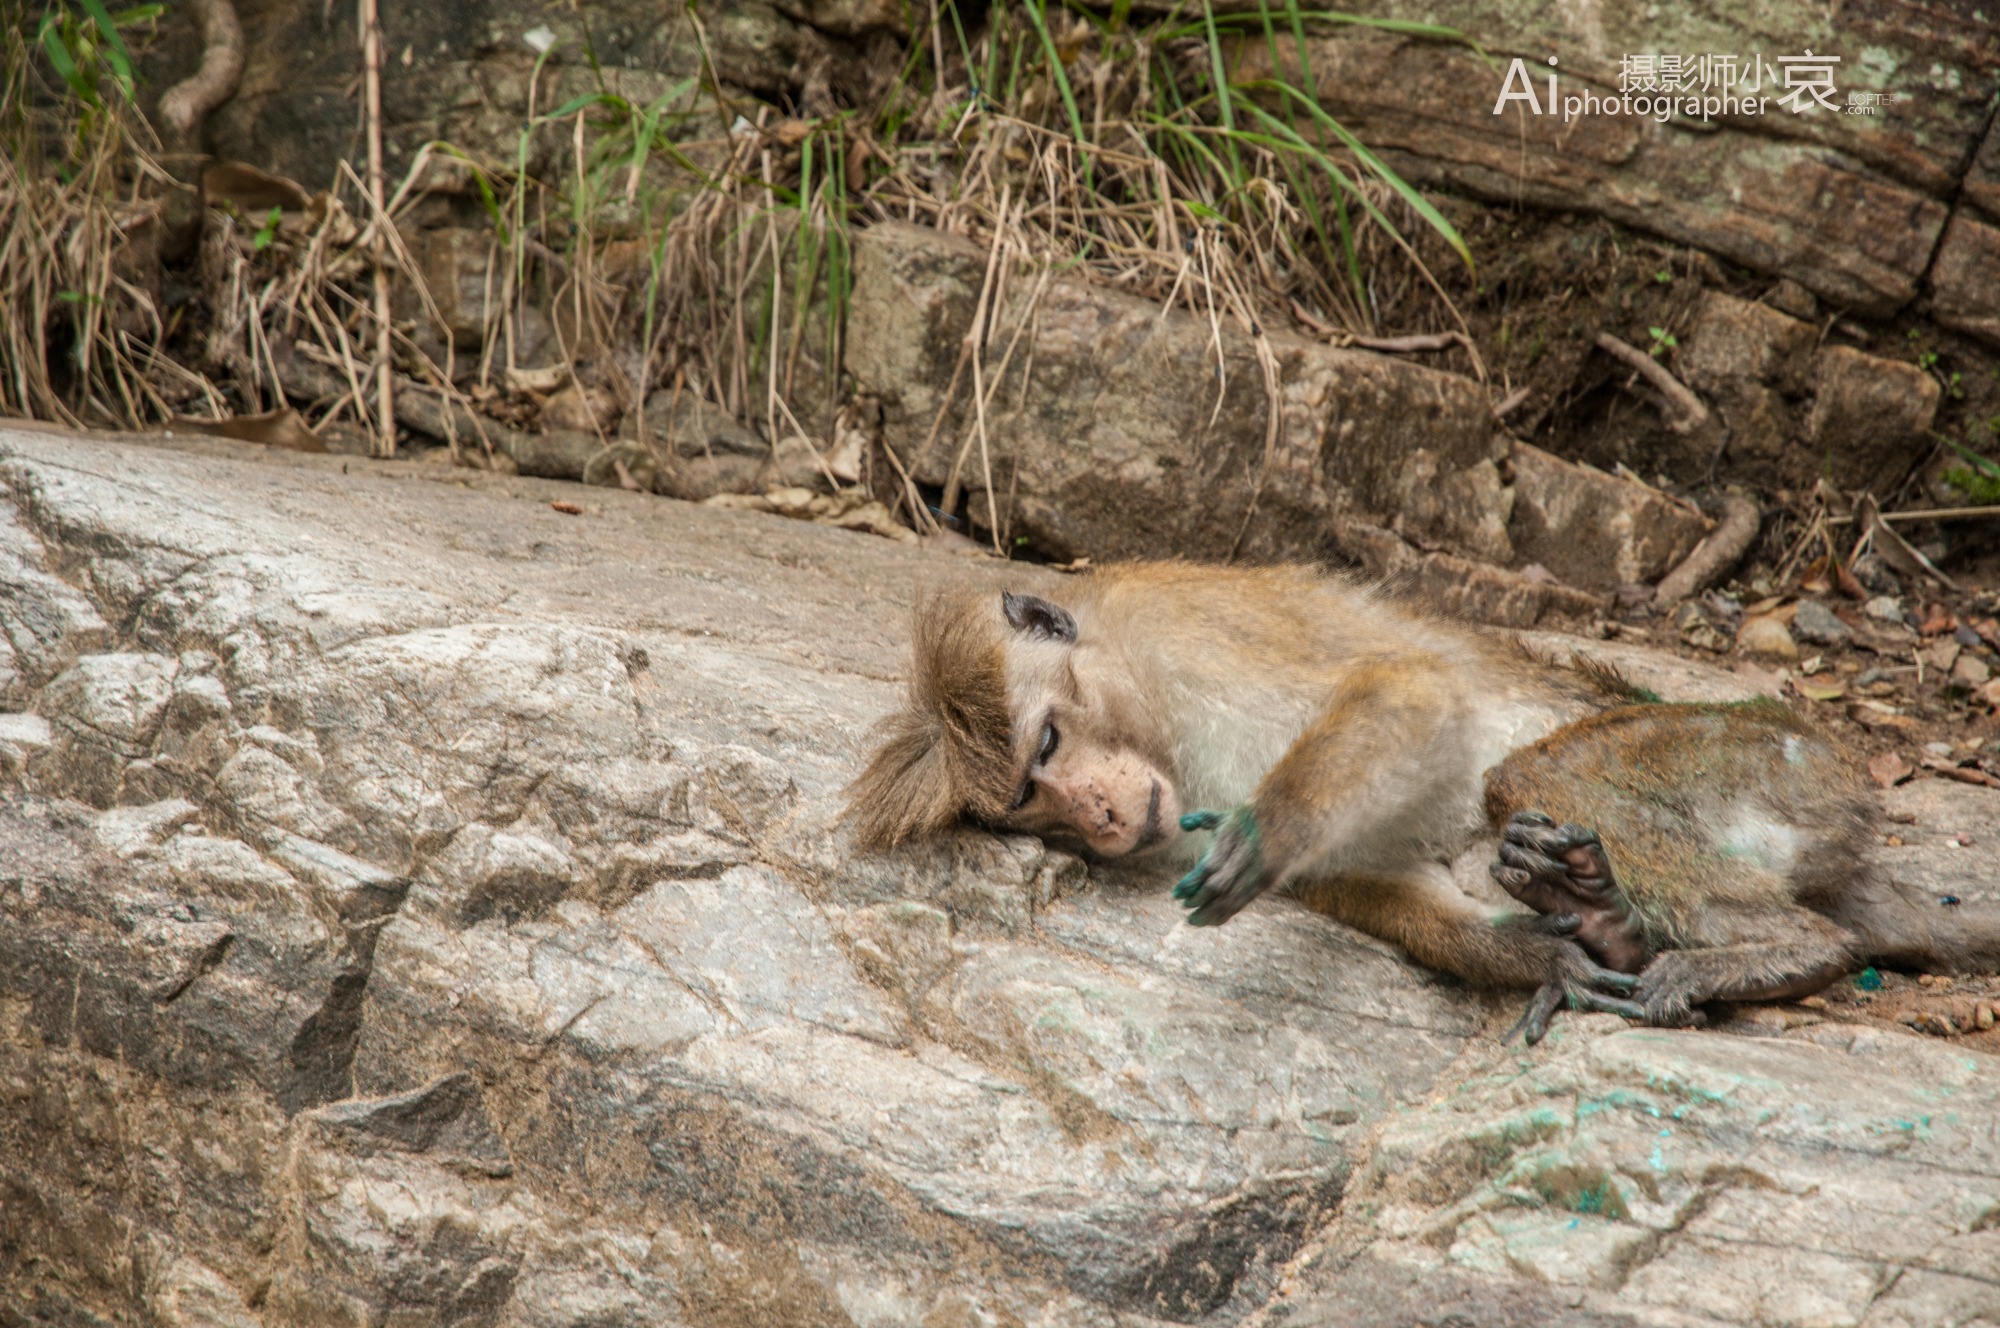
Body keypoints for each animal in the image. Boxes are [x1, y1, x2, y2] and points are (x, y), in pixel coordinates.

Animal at [848, 564, 2000, 1040]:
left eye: (1046, 744)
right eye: (1029, 805)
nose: (1090, 819)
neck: (1139, 687)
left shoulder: (1196, 633)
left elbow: (1410, 690)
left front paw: (1270, 824)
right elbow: (1370, 877)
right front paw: (1540, 956)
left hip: (1767, 755)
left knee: (1534, 778)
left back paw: (1773, 948)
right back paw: (1599, 918)